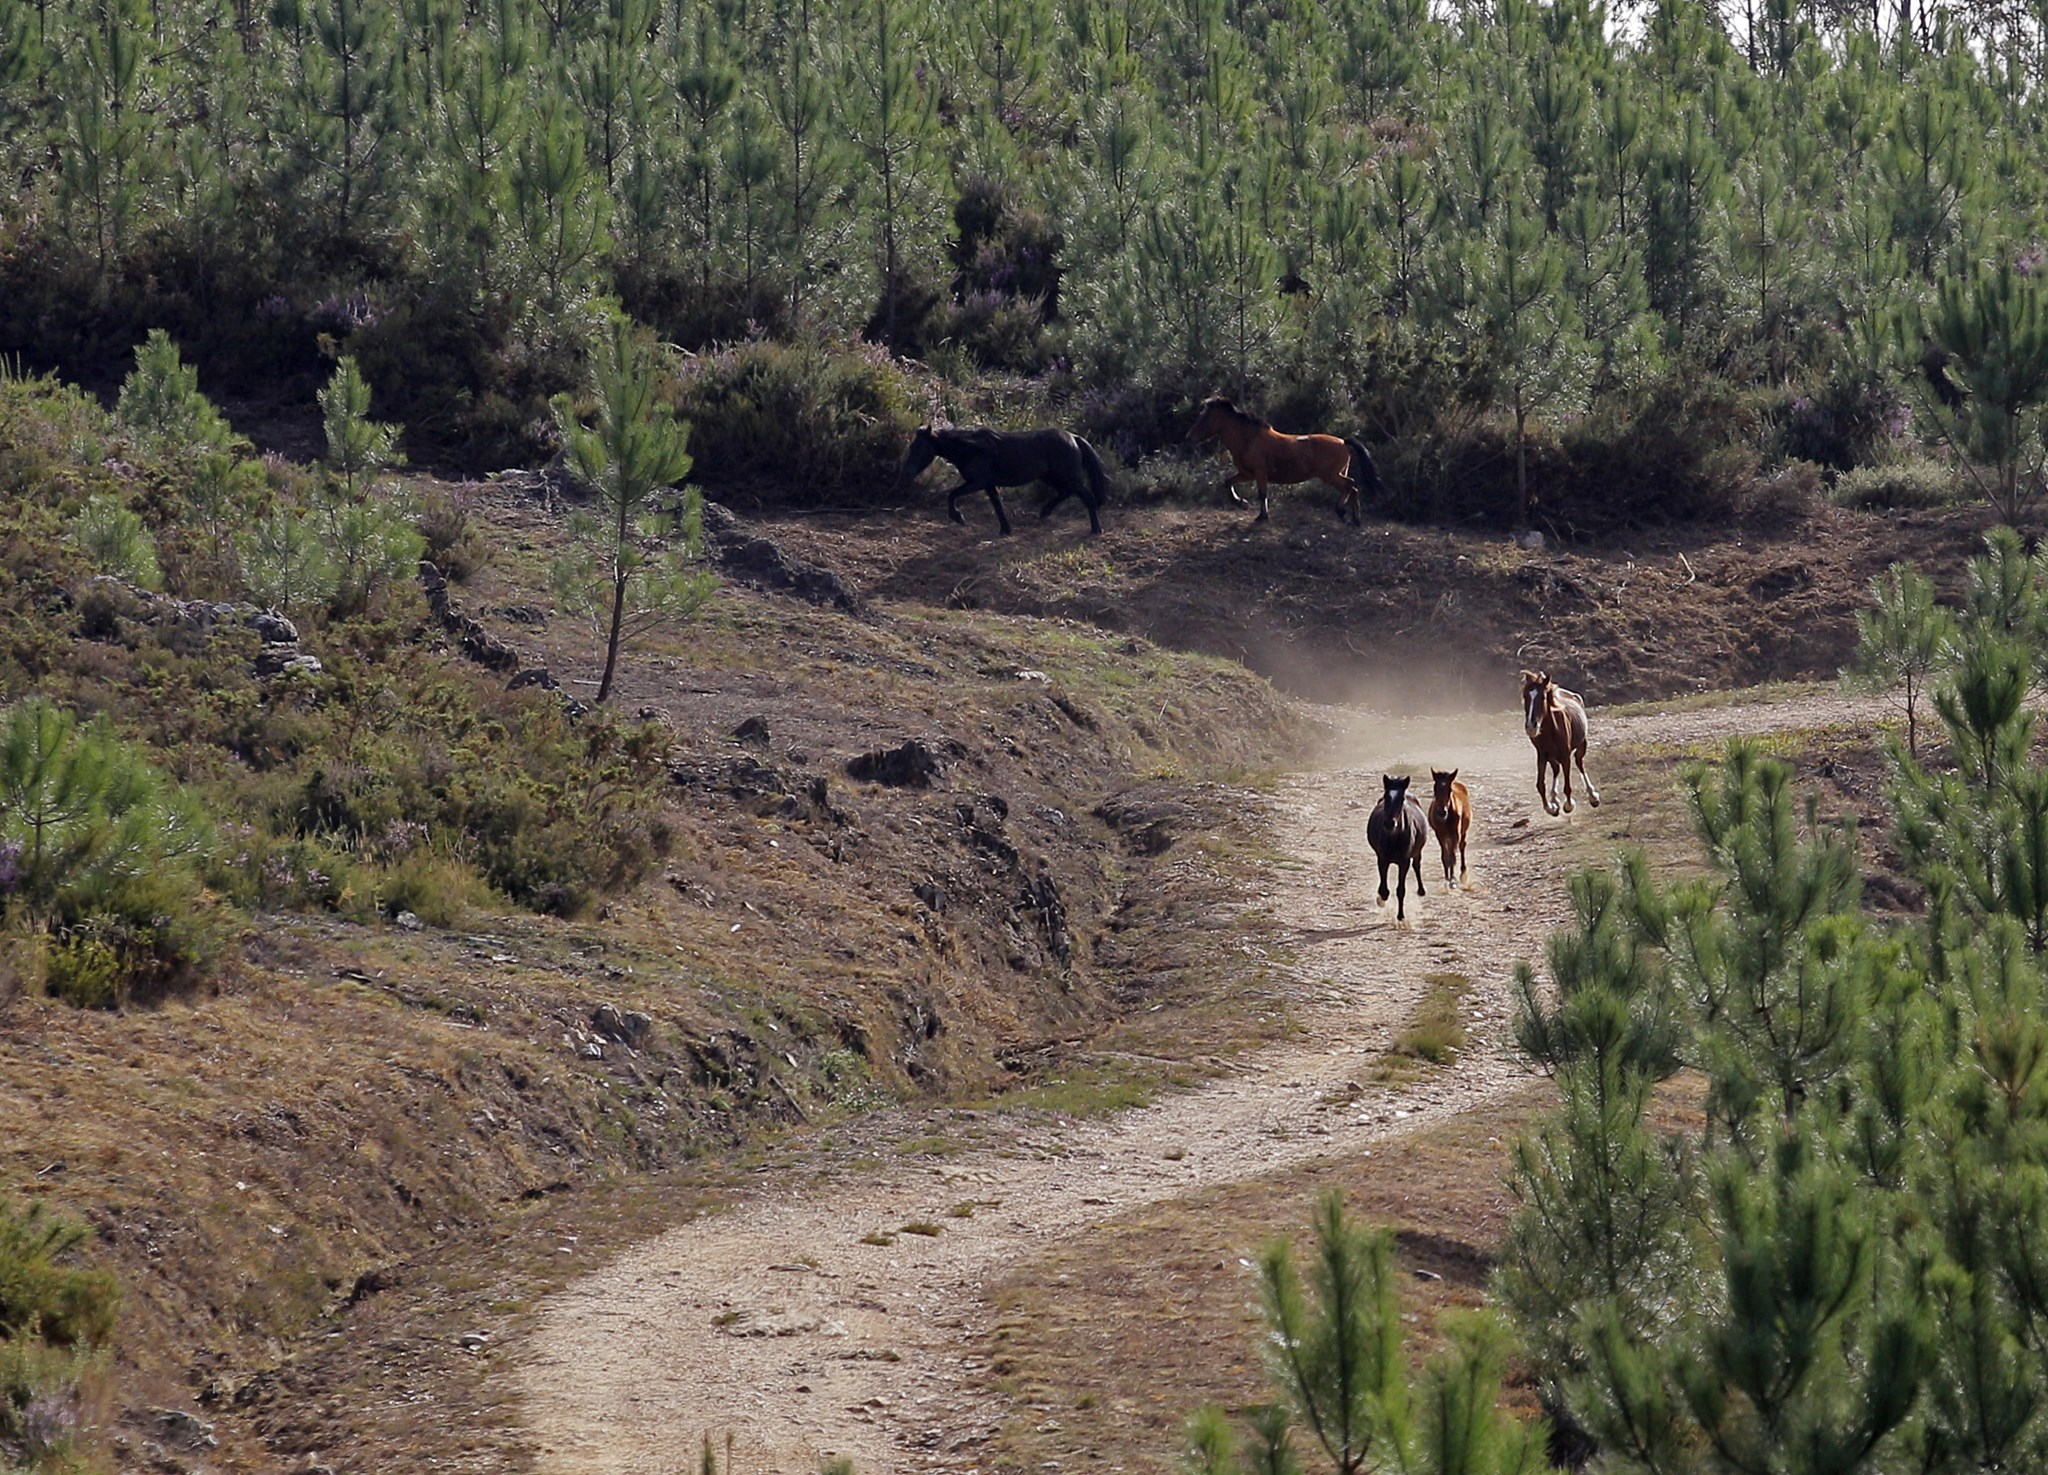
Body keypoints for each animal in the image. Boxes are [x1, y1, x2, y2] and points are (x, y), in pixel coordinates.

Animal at [897, 426, 1114, 536]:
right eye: (912, 446)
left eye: (920, 448)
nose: (905, 473)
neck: (971, 448)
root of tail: (1073, 437)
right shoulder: (988, 484)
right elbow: (997, 505)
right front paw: (1005, 530)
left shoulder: (978, 482)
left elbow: (952, 494)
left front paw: (958, 517)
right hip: (1050, 477)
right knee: (1065, 493)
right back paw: (1044, 512)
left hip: (1068, 477)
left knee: (1086, 497)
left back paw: (1096, 529)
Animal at [1368, 770, 1433, 921]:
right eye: (1386, 796)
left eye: (1401, 799)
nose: (1389, 824)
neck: (1394, 838)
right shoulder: (1382, 859)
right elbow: (1384, 889)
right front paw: (1381, 899)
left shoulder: (1404, 862)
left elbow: (1401, 890)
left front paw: (1401, 915)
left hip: (1417, 852)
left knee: (1417, 865)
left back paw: (1421, 890)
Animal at [1523, 671, 1597, 819]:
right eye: (1525, 697)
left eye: (1543, 697)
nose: (1531, 727)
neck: (1550, 730)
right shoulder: (1542, 755)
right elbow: (1540, 785)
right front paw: (1551, 807)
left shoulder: (1565, 755)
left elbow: (1567, 785)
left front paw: (1568, 805)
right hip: (1552, 756)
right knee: (1556, 770)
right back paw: (1554, 798)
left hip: (1581, 745)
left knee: (1579, 764)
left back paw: (1592, 796)